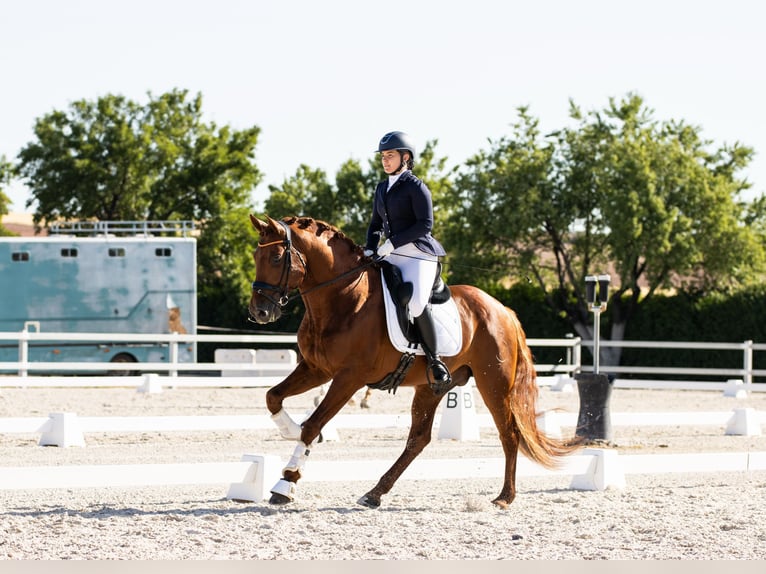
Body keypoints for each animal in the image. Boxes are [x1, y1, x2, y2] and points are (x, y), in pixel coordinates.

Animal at [249, 215, 580, 508]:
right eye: (255, 256)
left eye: (277, 258)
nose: (259, 312)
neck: (342, 298)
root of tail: (503, 309)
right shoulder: (316, 369)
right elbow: (272, 397)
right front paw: (289, 431)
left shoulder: (348, 377)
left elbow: (314, 425)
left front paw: (286, 482)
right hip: (432, 387)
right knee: (418, 439)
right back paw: (374, 493)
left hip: (493, 383)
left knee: (508, 433)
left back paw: (504, 497)